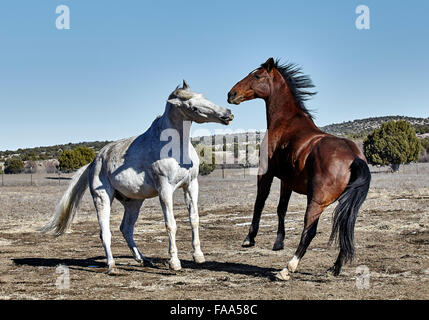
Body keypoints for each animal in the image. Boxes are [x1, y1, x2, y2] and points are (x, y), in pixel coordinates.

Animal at [41, 81, 232, 274]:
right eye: (192, 106)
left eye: (204, 96)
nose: (228, 114)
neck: (175, 148)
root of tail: (94, 161)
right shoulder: (165, 189)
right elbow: (170, 224)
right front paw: (174, 262)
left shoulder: (191, 185)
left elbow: (194, 219)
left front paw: (198, 256)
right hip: (102, 197)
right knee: (105, 232)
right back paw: (112, 266)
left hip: (134, 202)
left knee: (126, 228)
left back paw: (143, 259)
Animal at [226, 58, 370, 280]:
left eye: (257, 76)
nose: (231, 94)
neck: (286, 122)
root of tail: (354, 157)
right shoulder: (287, 181)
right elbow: (281, 208)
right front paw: (278, 242)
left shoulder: (266, 173)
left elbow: (260, 202)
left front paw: (249, 238)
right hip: (346, 204)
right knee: (346, 228)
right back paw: (334, 268)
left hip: (316, 202)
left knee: (309, 232)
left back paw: (287, 269)